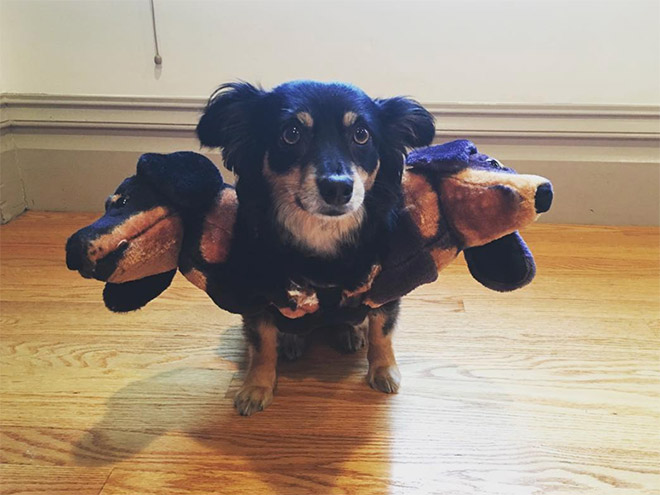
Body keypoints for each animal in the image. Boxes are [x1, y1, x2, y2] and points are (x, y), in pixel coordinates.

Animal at [193, 81, 436, 414]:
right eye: (291, 133)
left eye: (362, 135)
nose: (338, 187)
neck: (321, 231)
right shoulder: (259, 292)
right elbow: (262, 342)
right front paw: (256, 387)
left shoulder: (385, 281)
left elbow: (381, 330)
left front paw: (384, 370)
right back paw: (292, 341)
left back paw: (349, 332)